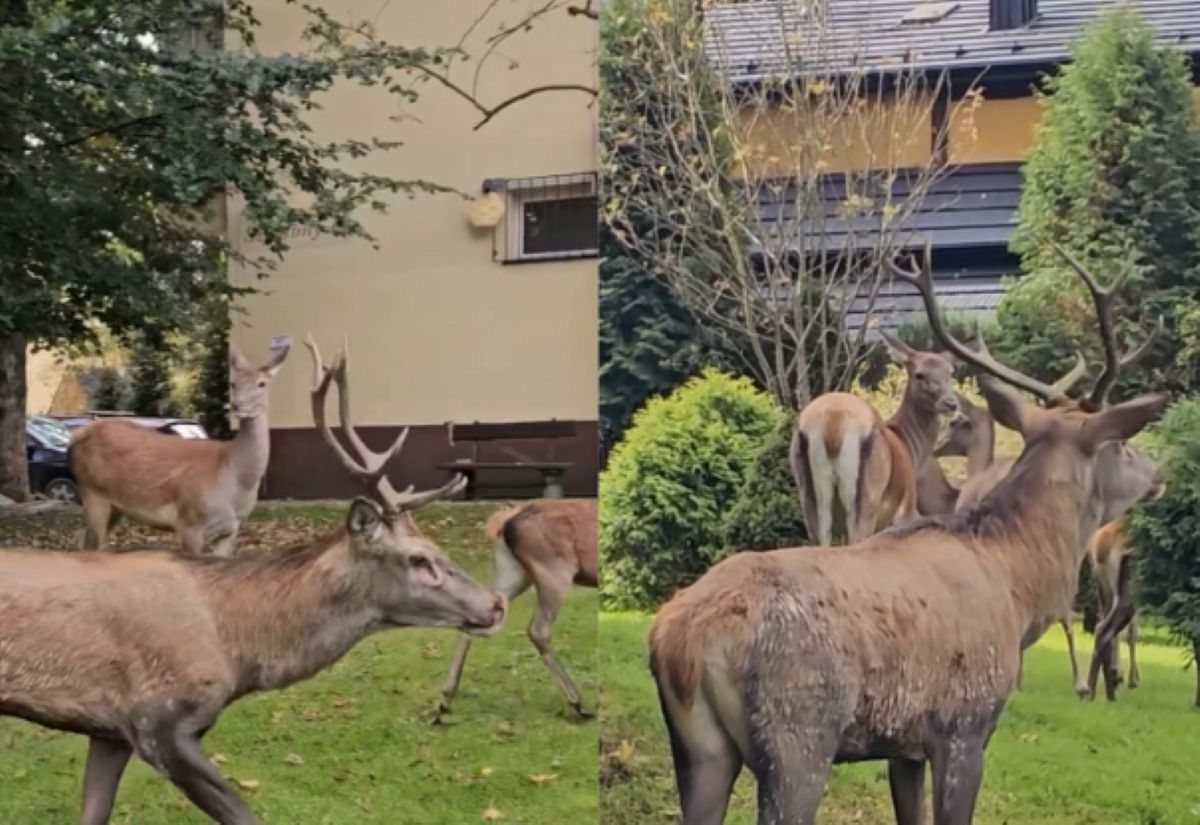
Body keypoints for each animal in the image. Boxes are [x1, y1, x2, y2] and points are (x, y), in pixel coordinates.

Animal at [70, 340, 290, 553]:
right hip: (92, 491)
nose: (239, 406)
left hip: (116, 506)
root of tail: (76, 436)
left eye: (262, 383)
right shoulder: (189, 522)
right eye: (233, 383)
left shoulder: (231, 530)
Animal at [436, 498, 600, 719]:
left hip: (514, 570)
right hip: (554, 570)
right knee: (537, 630)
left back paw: (446, 697)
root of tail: (503, 521)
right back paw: (577, 702)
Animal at [787, 330, 955, 544]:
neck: (908, 445)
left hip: (809, 498)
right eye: (919, 374)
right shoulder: (907, 507)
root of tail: (834, 422)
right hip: (868, 496)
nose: (951, 403)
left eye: (950, 372)